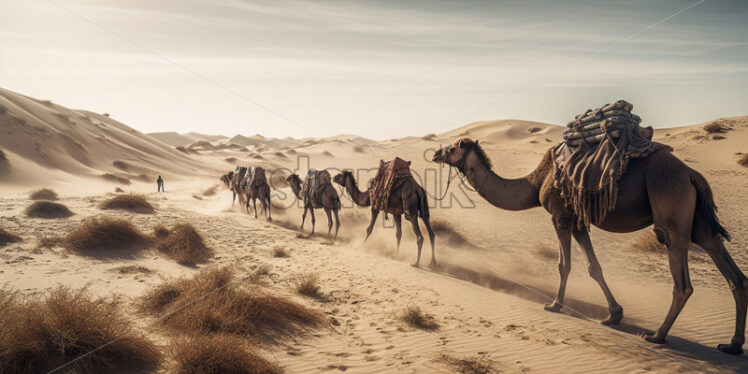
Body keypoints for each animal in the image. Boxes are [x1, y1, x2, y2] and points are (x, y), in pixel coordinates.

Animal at [432, 139, 748, 356]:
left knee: (683, 282)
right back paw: (732, 345)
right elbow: (594, 267)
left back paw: (657, 335)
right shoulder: (579, 221)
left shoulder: (560, 216)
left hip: (672, 217)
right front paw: (613, 315)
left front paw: (554, 305)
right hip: (700, 226)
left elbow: (564, 264)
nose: (436, 152)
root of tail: (692, 174)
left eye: (454, 146)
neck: (536, 182)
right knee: (733, 274)